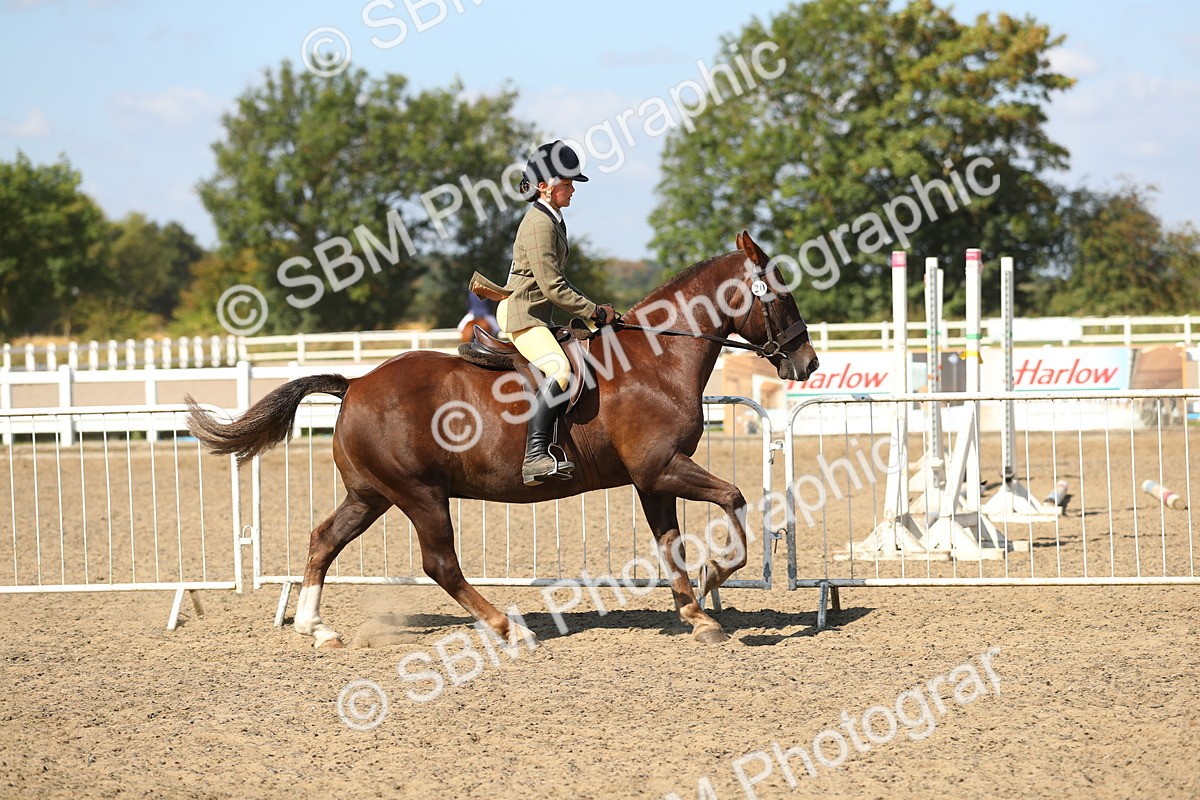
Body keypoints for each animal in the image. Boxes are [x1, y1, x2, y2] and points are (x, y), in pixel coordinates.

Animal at [185, 231, 818, 647]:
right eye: (782, 294)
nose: (808, 364)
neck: (654, 358)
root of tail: (355, 382)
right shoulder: (662, 466)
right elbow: (735, 499)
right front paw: (714, 582)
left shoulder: (652, 477)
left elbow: (670, 543)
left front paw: (696, 613)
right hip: (420, 495)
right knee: (440, 564)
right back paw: (504, 626)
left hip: (372, 495)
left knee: (324, 540)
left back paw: (316, 627)